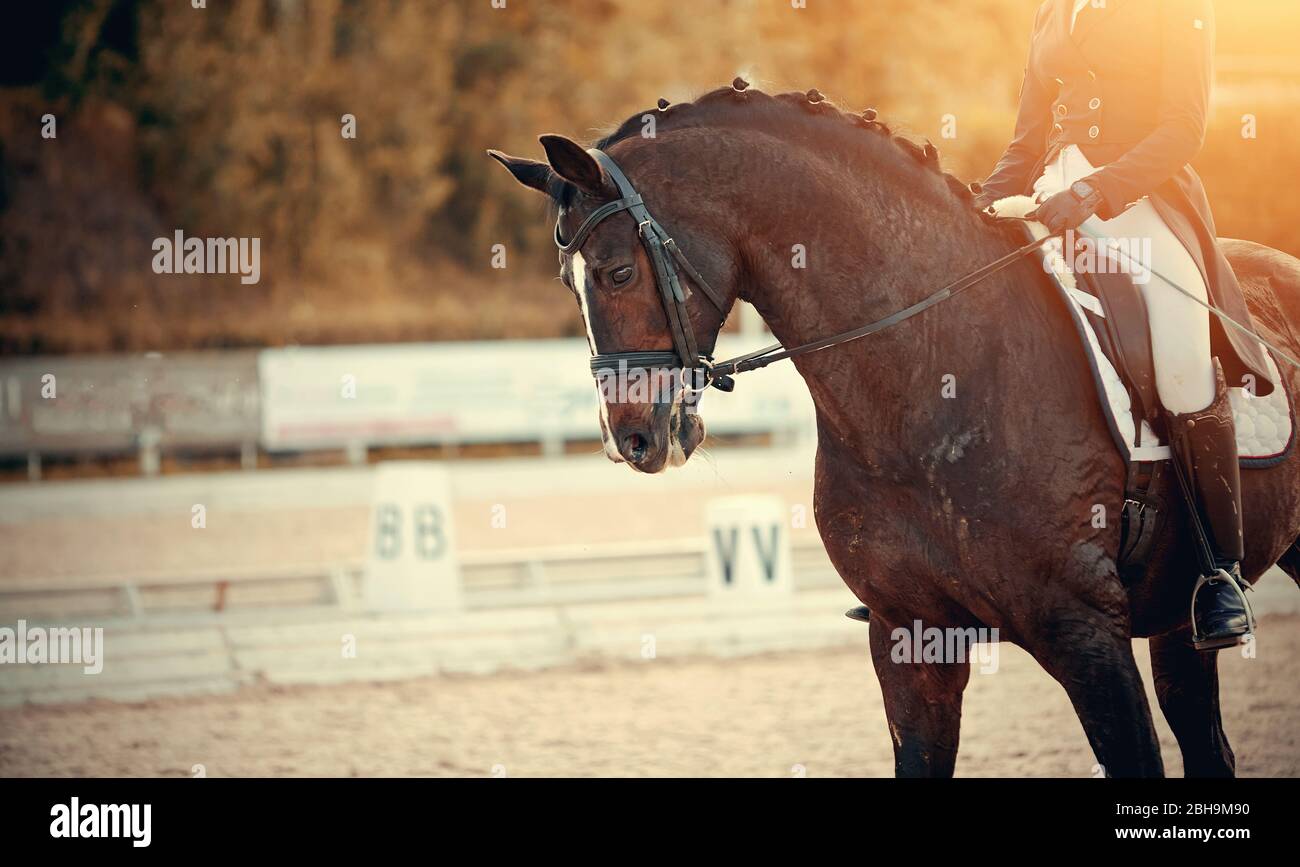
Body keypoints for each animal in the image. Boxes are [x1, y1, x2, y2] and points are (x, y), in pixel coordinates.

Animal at [491, 86, 1300, 779]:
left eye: (619, 273)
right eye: (568, 283)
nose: (631, 441)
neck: (930, 377)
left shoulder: (1085, 630)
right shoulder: (909, 638)